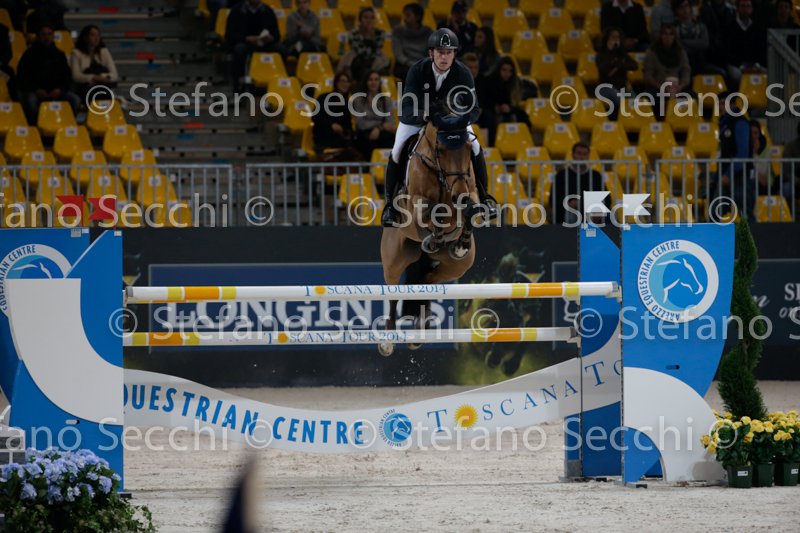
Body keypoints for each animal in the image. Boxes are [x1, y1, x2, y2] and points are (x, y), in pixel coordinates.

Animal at [378, 110, 482, 356]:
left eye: (468, 148)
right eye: (440, 150)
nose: (458, 194)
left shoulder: (470, 191)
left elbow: (471, 210)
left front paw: (461, 244)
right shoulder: (416, 204)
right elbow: (434, 210)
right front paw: (435, 235)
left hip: (455, 268)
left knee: (427, 279)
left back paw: (420, 331)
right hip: (394, 259)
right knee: (393, 291)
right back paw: (388, 341)